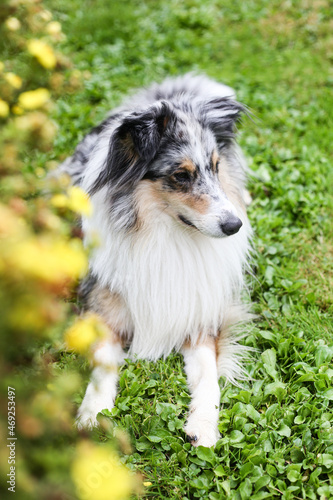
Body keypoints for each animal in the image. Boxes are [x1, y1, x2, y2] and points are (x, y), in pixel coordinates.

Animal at [59, 73, 252, 446]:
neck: (164, 234)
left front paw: (204, 426)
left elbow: (208, 378)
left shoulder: (201, 317)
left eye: (216, 168)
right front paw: (93, 414)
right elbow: (103, 369)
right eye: (181, 175)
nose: (234, 225)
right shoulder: (104, 312)